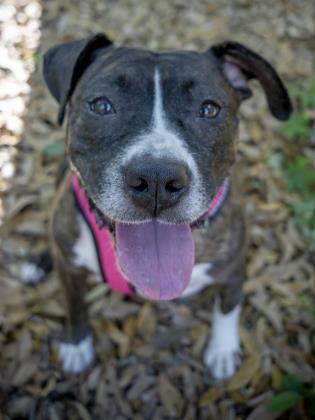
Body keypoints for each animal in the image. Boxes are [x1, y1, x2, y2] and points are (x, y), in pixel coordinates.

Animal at [24, 32, 294, 378]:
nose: (156, 180)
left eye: (209, 109)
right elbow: (75, 305)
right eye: (102, 105)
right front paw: (77, 344)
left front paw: (222, 350)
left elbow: (227, 309)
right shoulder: (69, 270)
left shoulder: (233, 269)